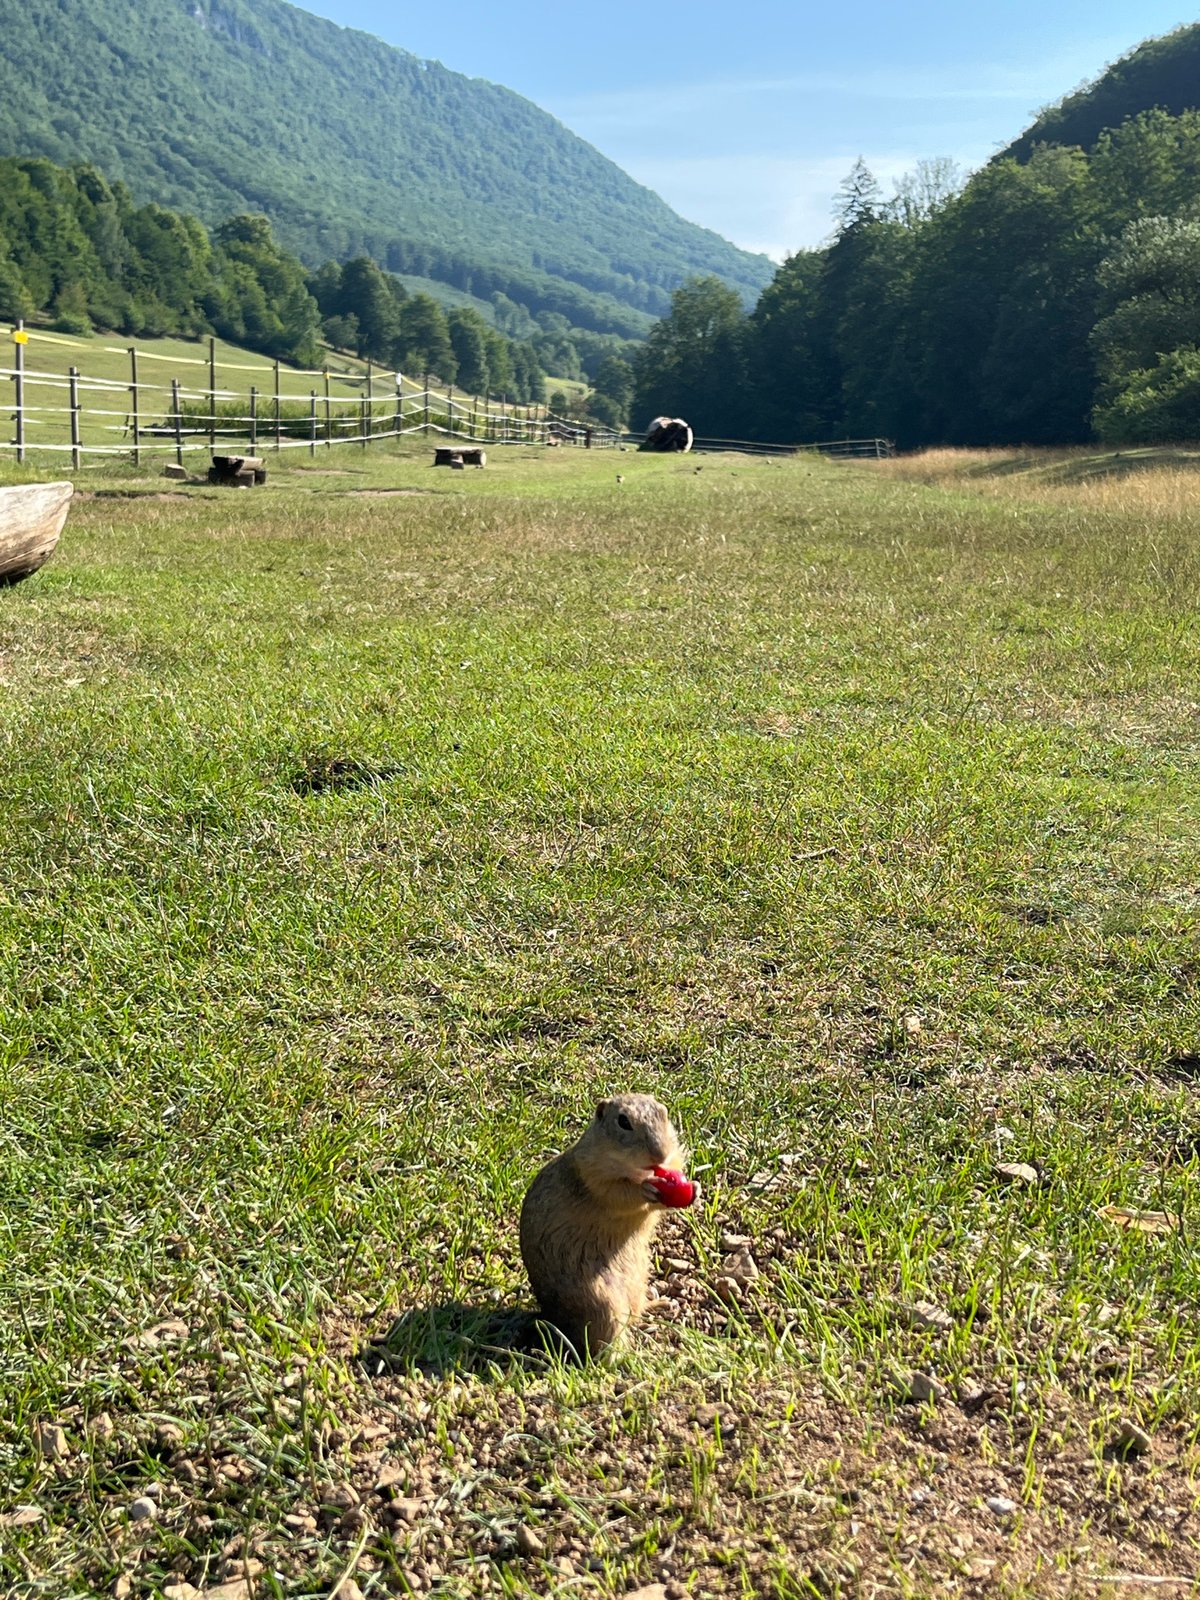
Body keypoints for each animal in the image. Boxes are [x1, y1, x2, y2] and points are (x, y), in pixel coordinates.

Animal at [519, 1094, 696, 1357]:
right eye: (623, 1122)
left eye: (663, 1113)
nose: (660, 1155)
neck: (638, 1171)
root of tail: (549, 1319)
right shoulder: (592, 1174)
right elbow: (618, 1193)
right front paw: (645, 1189)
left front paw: (695, 1188)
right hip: (602, 1303)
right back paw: (628, 1357)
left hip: (639, 1281)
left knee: (635, 1313)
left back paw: (660, 1304)